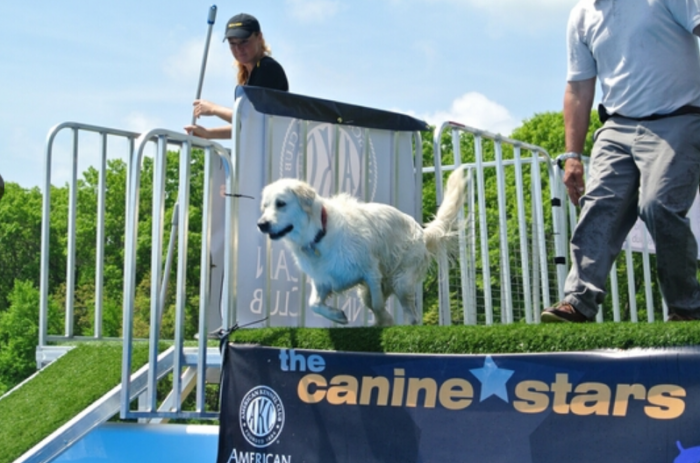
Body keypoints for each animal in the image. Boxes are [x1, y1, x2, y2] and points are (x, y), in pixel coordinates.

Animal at [258, 168, 470, 326]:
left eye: (281, 203)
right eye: (265, 206)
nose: (261, 224)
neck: (320, 234)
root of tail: (422, 232)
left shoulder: (371, 272)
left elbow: (377, 305)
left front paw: (385, 319)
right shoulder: (322, 281)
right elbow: (314, 305)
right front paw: (338, 316)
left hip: (401, 280)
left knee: (411, 316)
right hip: (369, 291)